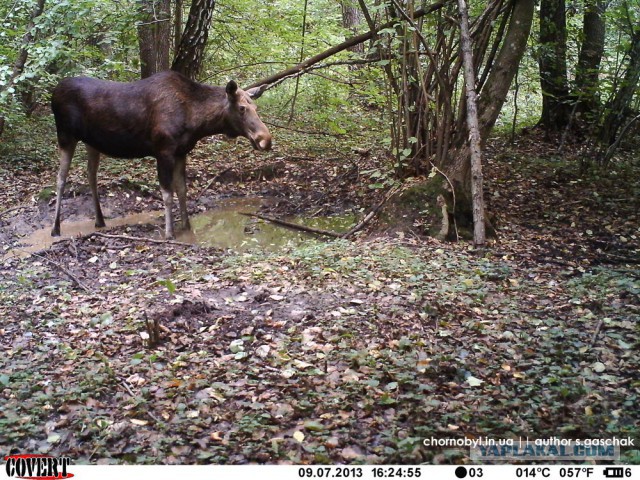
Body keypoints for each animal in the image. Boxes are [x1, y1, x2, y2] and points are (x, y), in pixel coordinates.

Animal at [49, 70, 270, 239]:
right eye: (242, 108)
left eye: (256, 107)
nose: (265, 139)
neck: (197, 122)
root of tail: (54, 92)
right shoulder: (164, 151)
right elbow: (167, 194)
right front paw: (169, 232)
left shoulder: (181, 152)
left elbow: (182, 189)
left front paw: (186, 226)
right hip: (65, 136)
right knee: (60, 179)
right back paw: (55, 228)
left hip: (92, 143)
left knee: (91, 176)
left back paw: (99, 220)